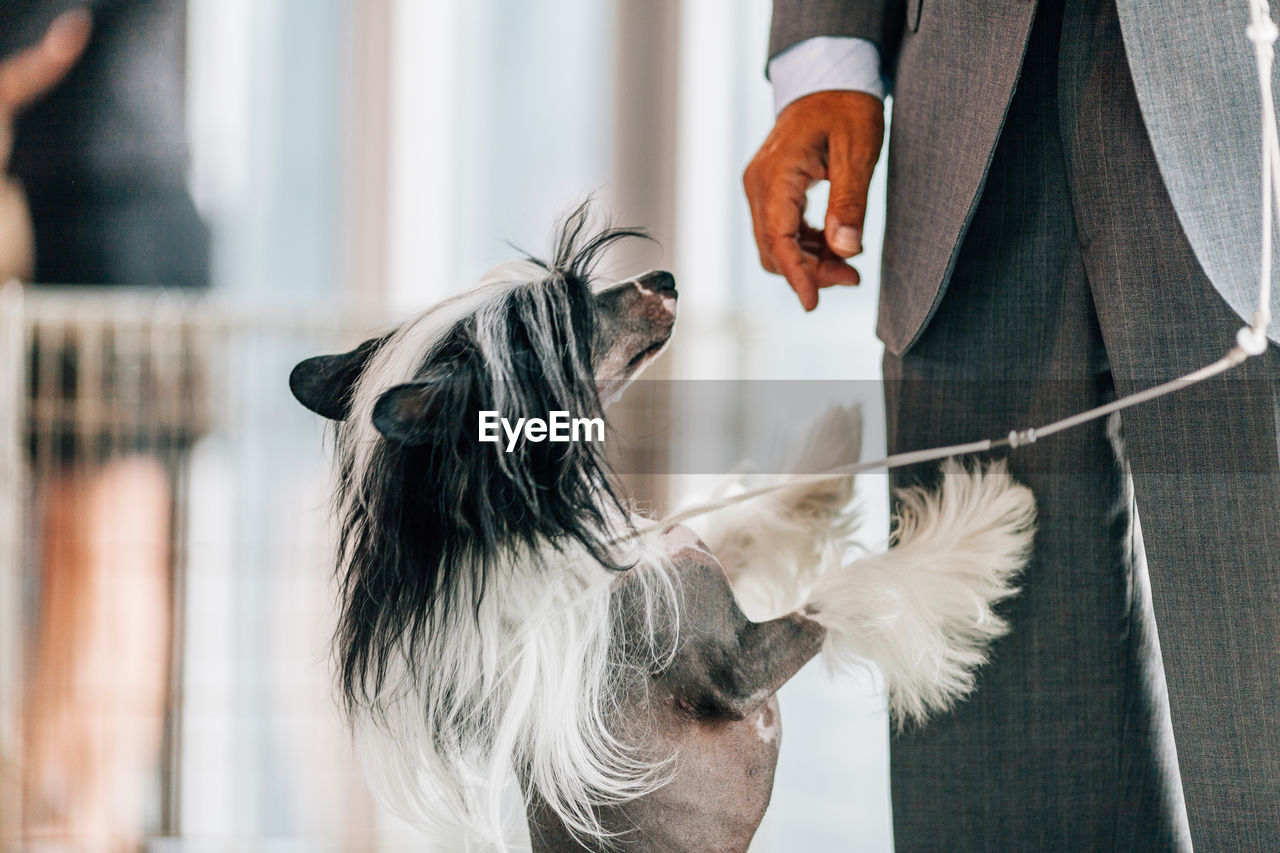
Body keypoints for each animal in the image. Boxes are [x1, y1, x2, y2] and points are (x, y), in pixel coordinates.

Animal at [290, 206, 1039, 850]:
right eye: (569, 320)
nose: (666, 279)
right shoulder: (738, 667)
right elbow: (851, 588)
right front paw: (983, 520)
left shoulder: (687, 559)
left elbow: (741, 519)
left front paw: (826, 457)